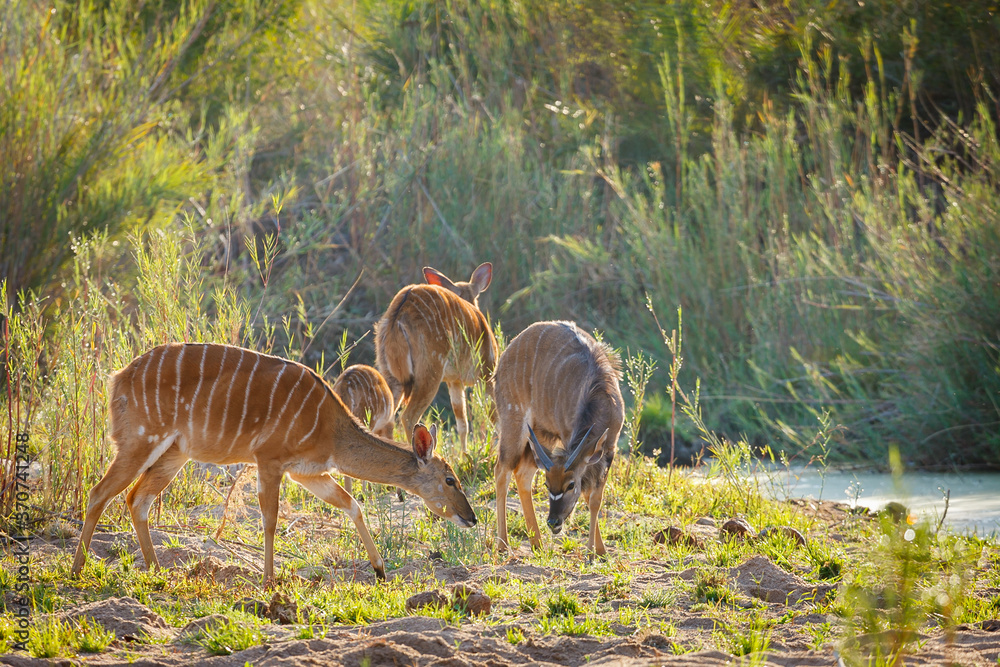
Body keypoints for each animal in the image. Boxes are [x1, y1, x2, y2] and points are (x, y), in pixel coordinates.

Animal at [376, 260, 500, 454]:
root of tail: (398, 317)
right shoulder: (486, 371)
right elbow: (495, 417)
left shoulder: (454, 380)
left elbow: (462, 423)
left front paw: (464, 455)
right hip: (431, 365)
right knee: (408, 416)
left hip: (389, 369)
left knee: (386, 416)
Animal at [494, 320, 624, 556]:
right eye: (547, 485)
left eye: (570, 485)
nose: (553, 522)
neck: (600, 395)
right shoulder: (569, 439)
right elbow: (589, 495)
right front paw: (591, 550)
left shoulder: (609, 449)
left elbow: (594, 498)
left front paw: (599, 550)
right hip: (513, 424)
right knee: (502, 470)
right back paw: (503, 544)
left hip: (540, 435)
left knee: (523, 474)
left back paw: (537, 544)